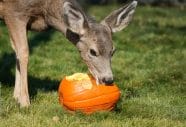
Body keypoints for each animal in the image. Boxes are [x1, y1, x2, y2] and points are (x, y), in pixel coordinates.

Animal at [0, 0, 137, 107]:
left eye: (113, 51)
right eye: (93, 51)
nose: (108, 79)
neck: (46, 10)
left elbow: (17, 52)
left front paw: (16, 97)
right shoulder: (14, 12)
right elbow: (23, 52)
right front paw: (24, 102)